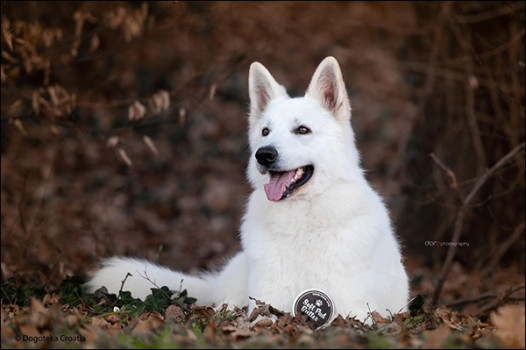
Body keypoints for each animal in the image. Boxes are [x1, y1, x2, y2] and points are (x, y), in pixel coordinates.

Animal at [86, 56, 410, 326]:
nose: (263, 155)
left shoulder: (350, 310)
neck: (302, 220)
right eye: (265, 132)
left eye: (302, 130)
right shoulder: (266, 303)